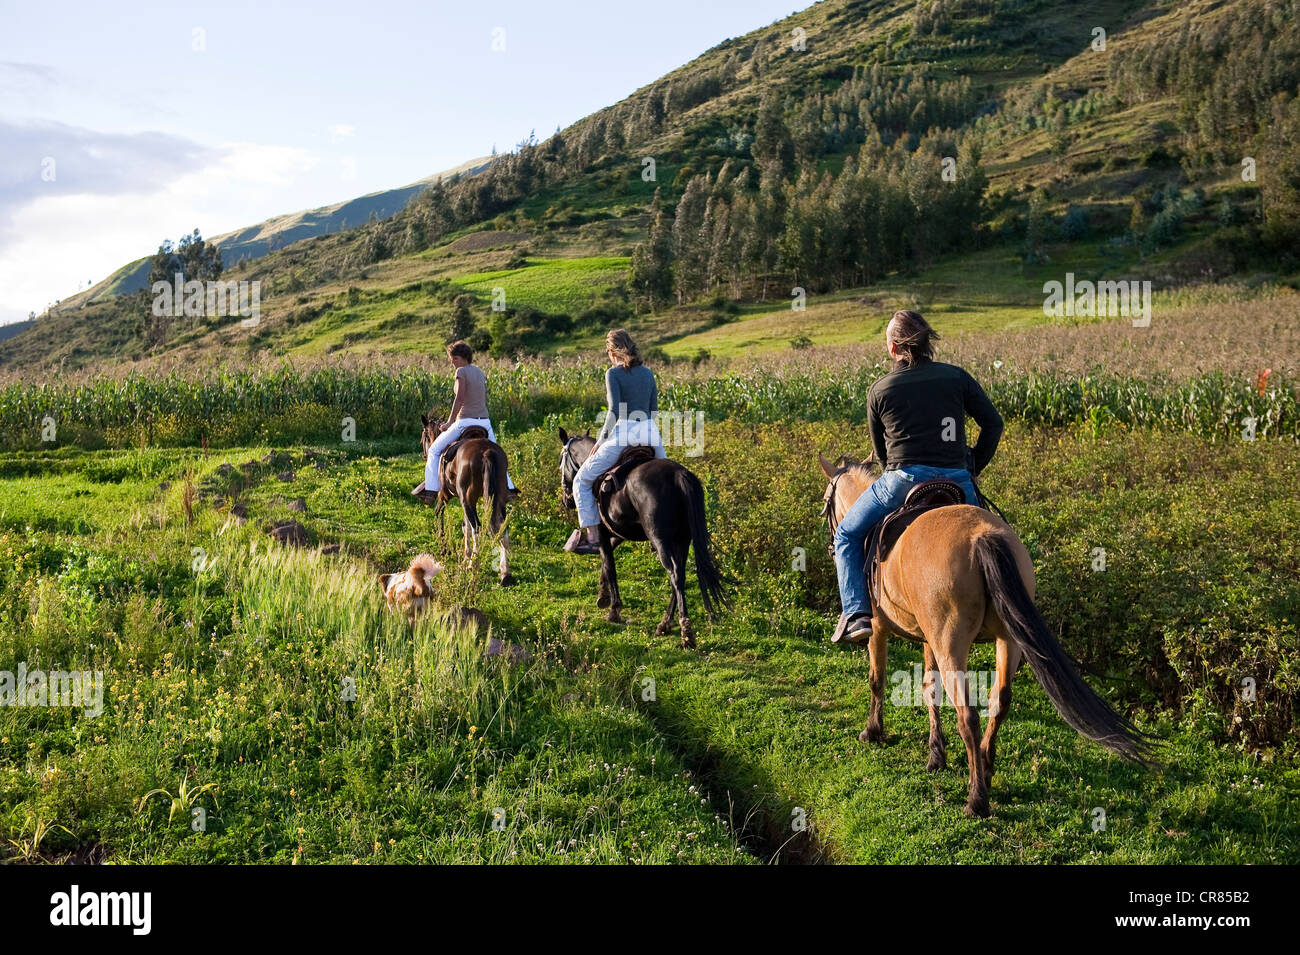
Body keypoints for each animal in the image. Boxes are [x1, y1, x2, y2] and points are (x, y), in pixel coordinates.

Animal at [421, 410, 512, 582]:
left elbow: (440, 514)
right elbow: (466, 527)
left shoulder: (445, 496)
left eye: (424, 436)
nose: (424, 455)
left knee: (477, 527)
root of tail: (487, 452)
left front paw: (445, 549)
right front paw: (465, 557)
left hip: (467, 499)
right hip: (497, 499)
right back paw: (505, 572)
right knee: (502, 528)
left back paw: (473, 565)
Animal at [559, 431, 733, 649]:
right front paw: (603, 595)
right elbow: (605, 563)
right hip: (682, 541)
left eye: (561, 461)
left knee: (674, 574)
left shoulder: (602, 532)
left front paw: (614, 609)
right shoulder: (617, 533)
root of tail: (679, 476)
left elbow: (609, 564)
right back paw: (665, 625)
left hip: (661, 541)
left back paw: (685, 633)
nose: (566, 501)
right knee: (679, 576)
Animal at [816, 454, 1154, 815]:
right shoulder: (929, 638)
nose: (831, 544)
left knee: (969, 715)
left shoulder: (879, 627)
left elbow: (877, 679)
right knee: (999, 702)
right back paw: (986, 768)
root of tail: (982, 537)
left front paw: (873, 732)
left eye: (826, 504)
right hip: (1007, 641)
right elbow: (929, 688)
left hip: (952, 645)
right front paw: (936, 755)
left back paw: (976, 798)